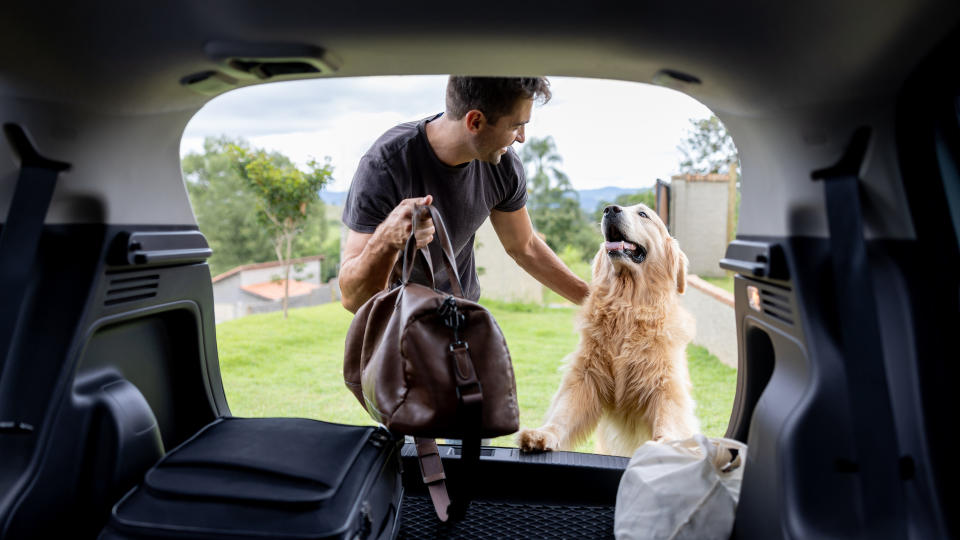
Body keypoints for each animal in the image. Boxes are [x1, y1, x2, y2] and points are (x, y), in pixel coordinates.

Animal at [516, 202, 696, 456]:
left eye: (643, 214)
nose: (610, 209)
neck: (627, 304)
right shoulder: (586, 375)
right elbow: (564, 412)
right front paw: (543, 434)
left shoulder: (666, 382)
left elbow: (669, 418)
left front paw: (662, 445)